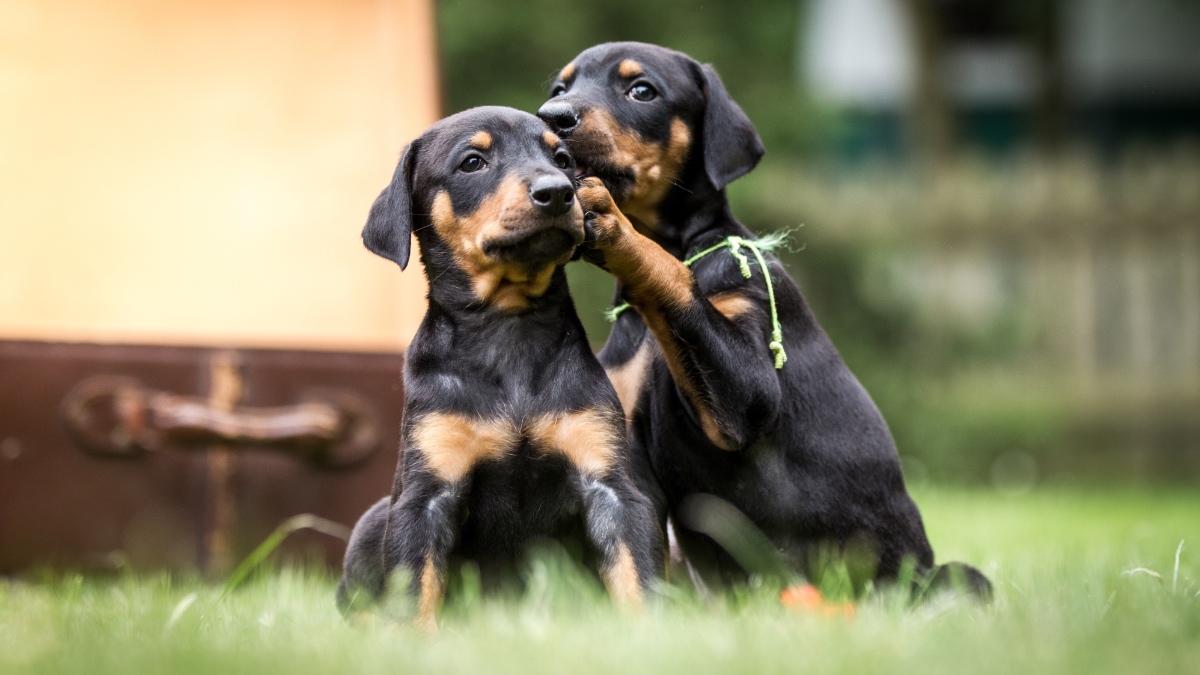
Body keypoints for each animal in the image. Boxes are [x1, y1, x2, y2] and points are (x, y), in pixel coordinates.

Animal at [338, 105, 667, 624]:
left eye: (562, 159)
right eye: (472, 162)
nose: (558, 191)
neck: (508, 324)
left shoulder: (613, 487)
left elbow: (638, 577)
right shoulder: (424, 497)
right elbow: (414, 592)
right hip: (375, 519)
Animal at [540, 40, 988, 593]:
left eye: (641, 90)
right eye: (559, 88)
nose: (552, 116)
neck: (646, 327)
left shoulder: (746, 391)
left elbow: (674, 277)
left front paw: (615, 226)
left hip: (943, 577)